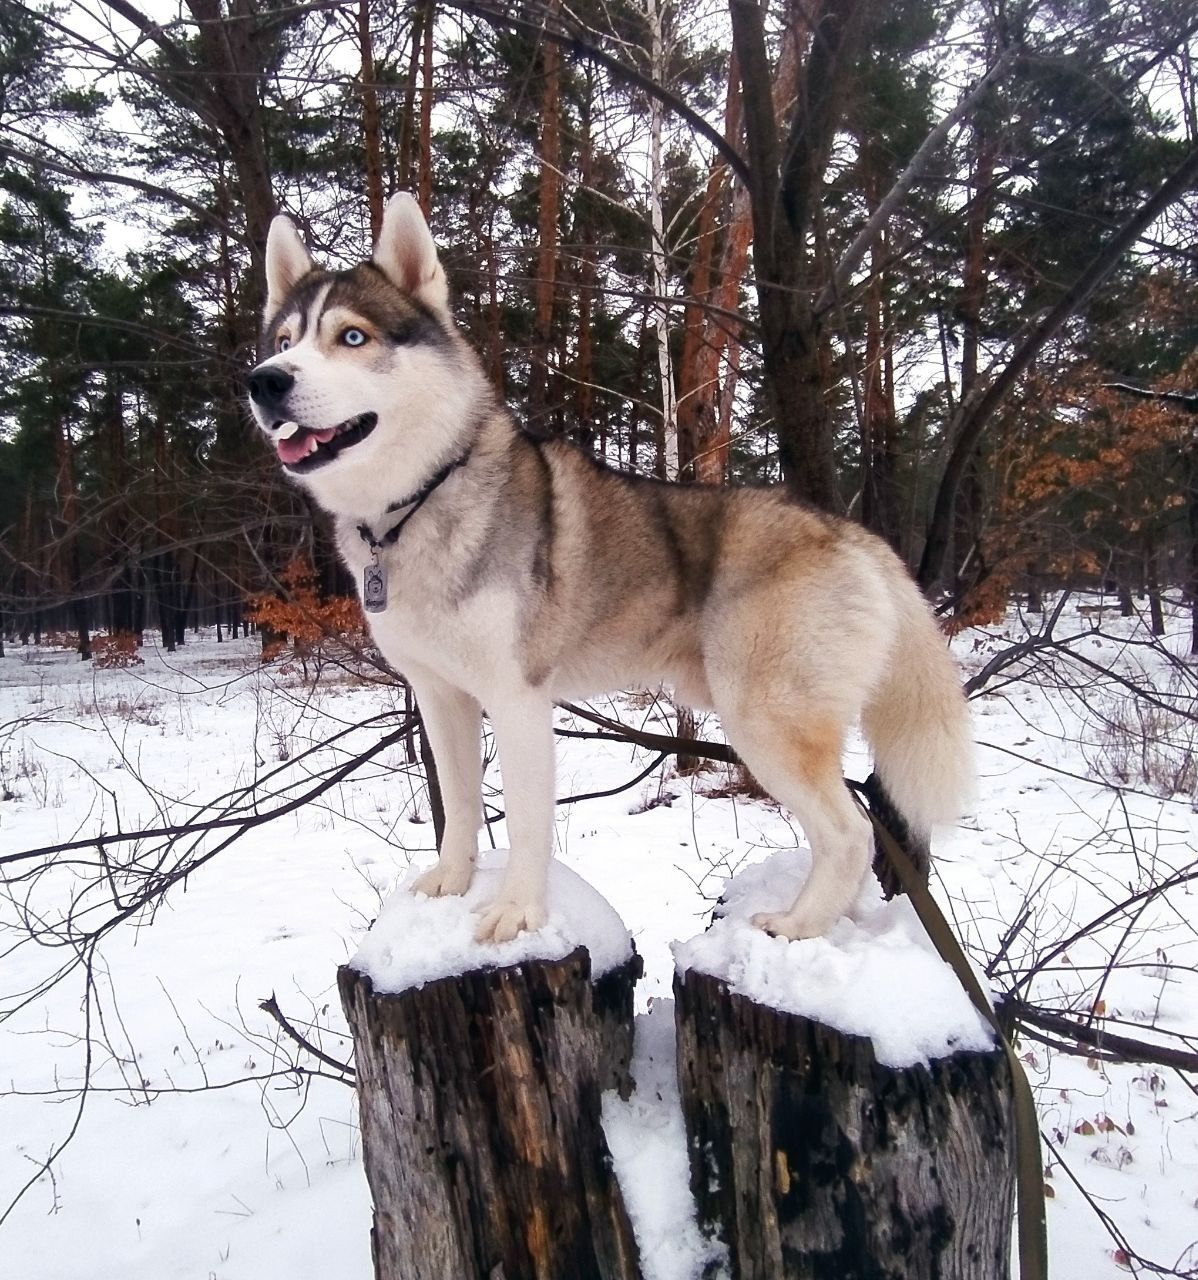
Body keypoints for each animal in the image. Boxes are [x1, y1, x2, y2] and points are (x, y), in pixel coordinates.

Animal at [245, 194, 972, 947]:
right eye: (283, 340)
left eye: (352, 336)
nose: (266, 381)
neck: (414, 504)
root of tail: (851, 533)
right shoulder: (442, 696)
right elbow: (463, 808)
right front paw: (448, 886)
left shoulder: (519, 697)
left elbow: (527, 822)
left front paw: (516, 913)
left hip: (766, 721)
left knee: (851, 834)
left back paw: (796, 927)